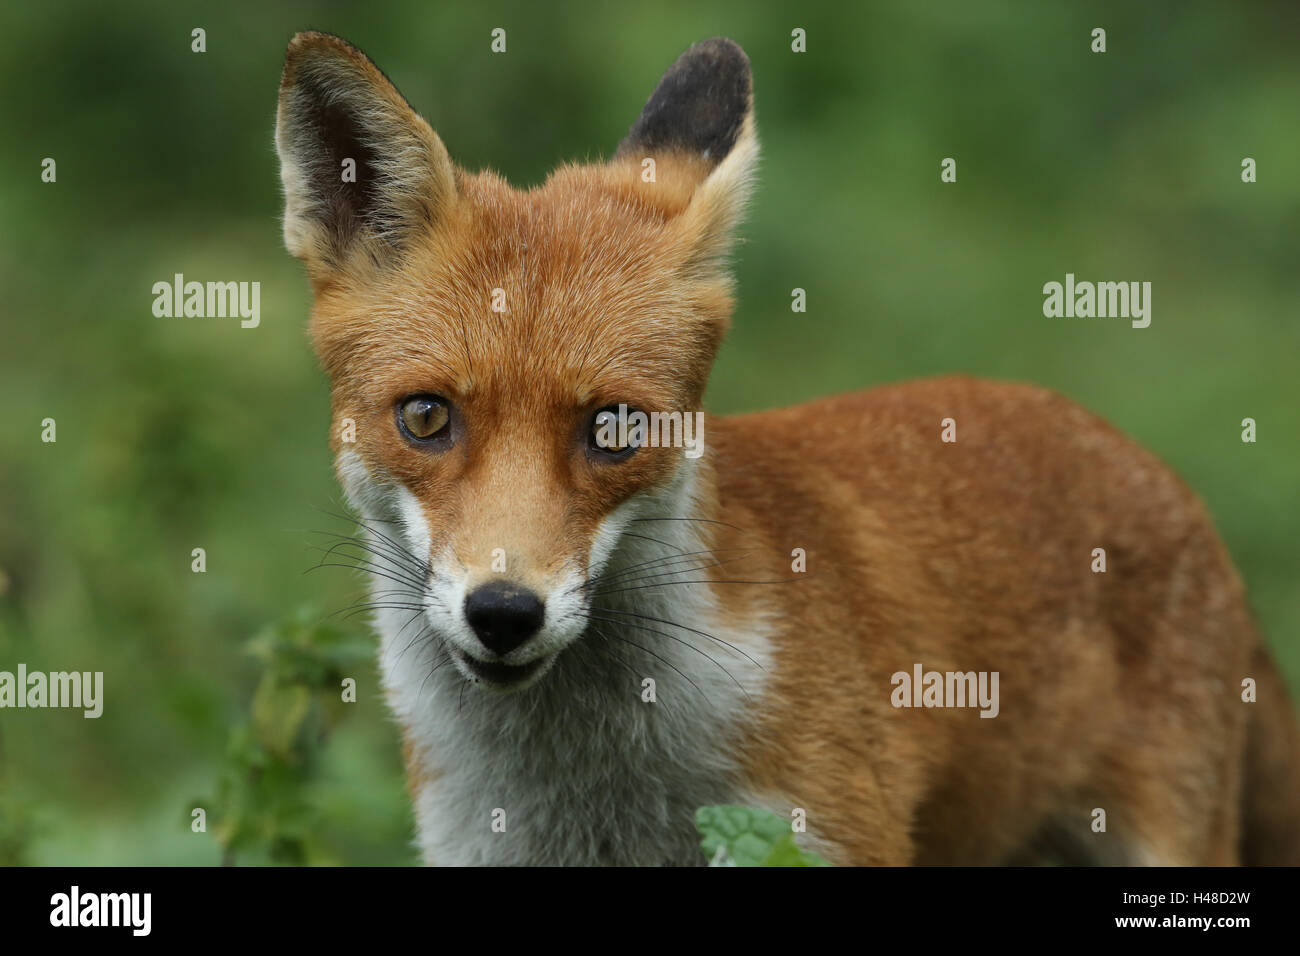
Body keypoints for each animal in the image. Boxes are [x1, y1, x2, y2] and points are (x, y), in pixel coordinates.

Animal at [276, 31, 1300, 868]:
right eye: (426, 418)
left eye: (615, 429)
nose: (503, 612)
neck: (602, 793)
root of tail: (1158, 471)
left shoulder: (818, 832)